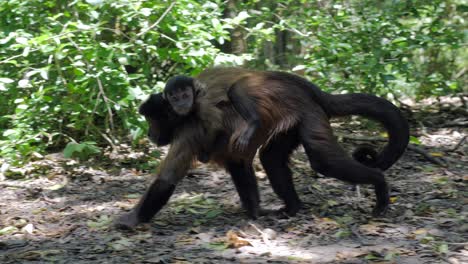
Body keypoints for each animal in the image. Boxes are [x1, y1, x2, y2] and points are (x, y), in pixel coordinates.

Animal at [114, 67, 410, 229]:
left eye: (152, 120)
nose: (150, 132)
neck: (184, 115)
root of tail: (305, 90)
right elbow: (238, 163)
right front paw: (255, 212)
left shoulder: (192, 128)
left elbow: (166, 180)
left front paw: (132, 220)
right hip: (292, 119)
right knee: (272, 158)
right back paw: (293, 207)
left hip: (307, 110)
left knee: (322, 160)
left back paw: (379, 184)